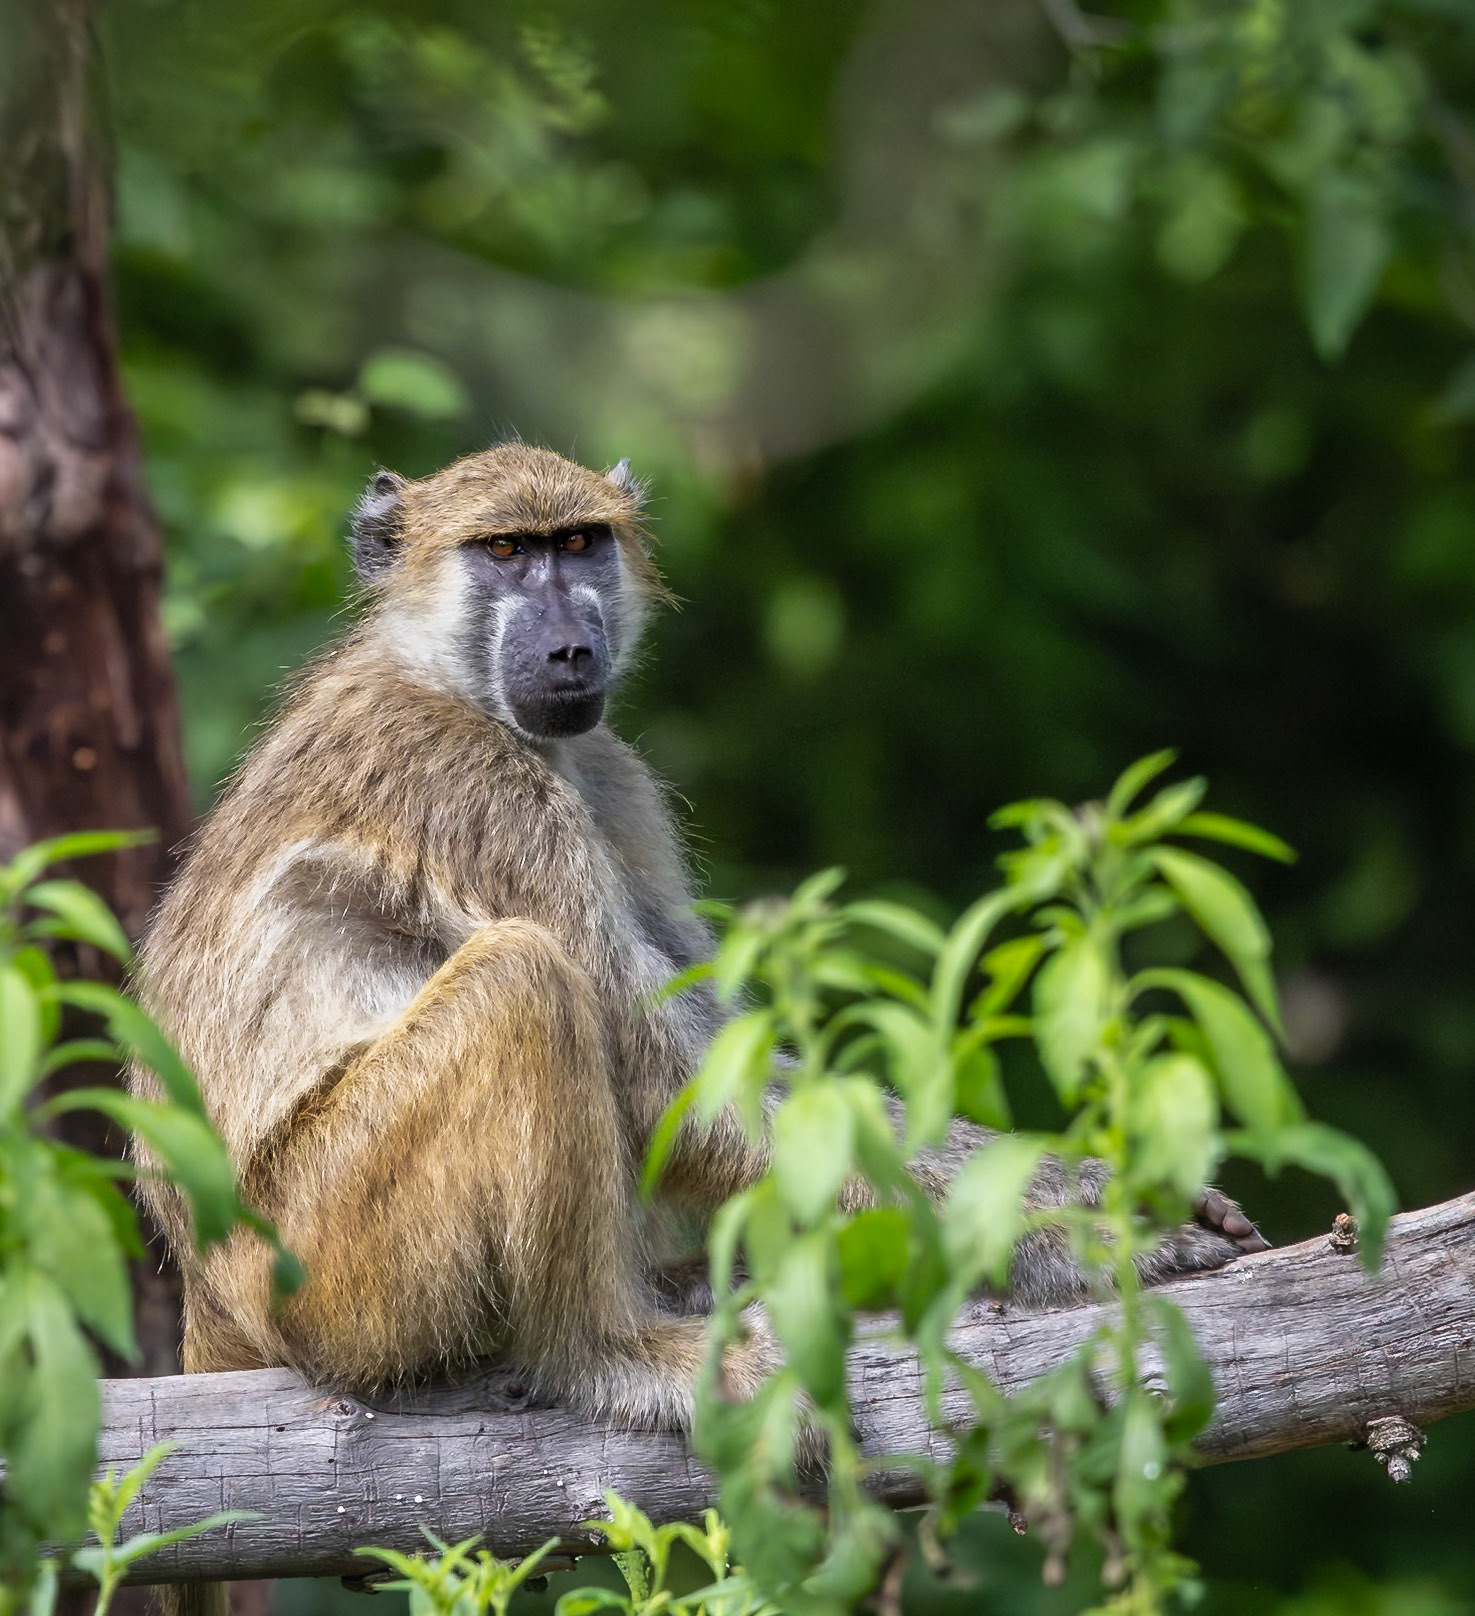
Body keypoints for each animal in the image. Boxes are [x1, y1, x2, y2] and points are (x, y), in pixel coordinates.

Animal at [129, 443, 1265, 1444]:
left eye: (578, 542)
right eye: (502, 552)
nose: (568, 647)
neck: (448, 680)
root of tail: (212, 1299)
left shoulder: (607, 769)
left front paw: (1077, 1189)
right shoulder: (472, 789)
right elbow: (659, 1073)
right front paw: (1062, 1245)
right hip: (329, 1269)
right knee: (523, 983)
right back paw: (602, 1355)